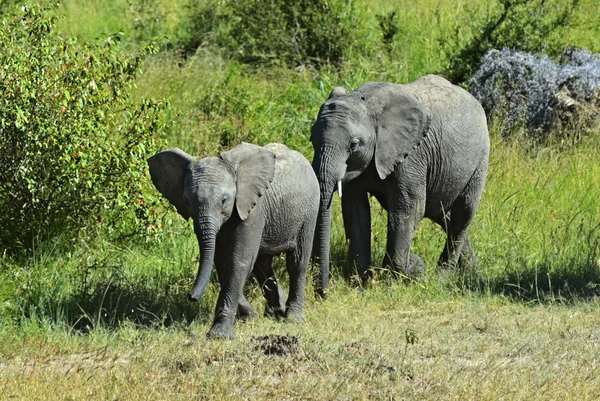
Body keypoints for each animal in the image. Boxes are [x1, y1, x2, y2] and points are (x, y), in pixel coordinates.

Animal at [148, 142, 322, 336]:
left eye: (224, 200)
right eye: (186, 201)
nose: (191, 297)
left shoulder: (253, 209)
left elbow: (238, 261)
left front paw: (219, 334)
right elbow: (223, 263)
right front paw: (251, 317)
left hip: (310, 210)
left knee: (297, 261)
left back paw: (292, 319)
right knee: (262, 264)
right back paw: (275, 312)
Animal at [312, 73, 490, 296]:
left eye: (354, 145)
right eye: (311, 138)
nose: (323, 294)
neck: (367, 102)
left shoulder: (412, 156)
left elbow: (407, 210)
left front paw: (397, 278)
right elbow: (356, 211)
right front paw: (360, 282)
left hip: (480, 158)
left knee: (462, 213)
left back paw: (442, 278)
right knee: (443, 214)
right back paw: (473, 270)